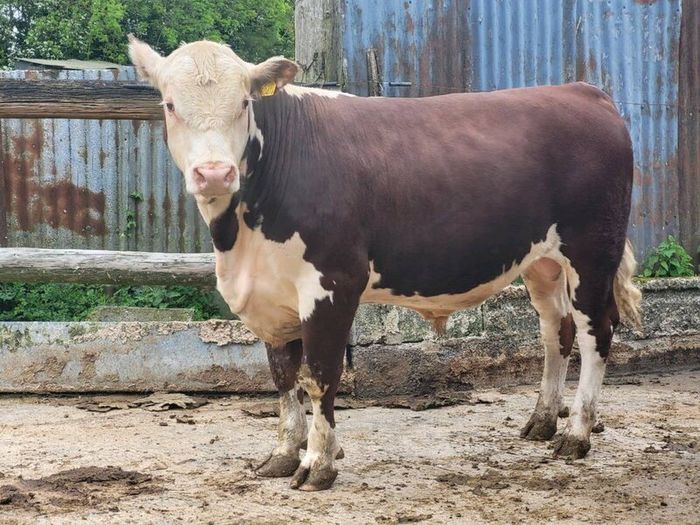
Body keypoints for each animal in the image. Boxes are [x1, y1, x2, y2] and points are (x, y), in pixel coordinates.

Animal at [128, 36, 641, 491]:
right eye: (170, 104)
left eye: (242, 103)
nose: (215, 173)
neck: (241, 239)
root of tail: (583, 91)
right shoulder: (271, 297)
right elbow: (282, 377)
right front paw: (282, 454)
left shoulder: (333, 282)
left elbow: (319, 376)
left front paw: (318, 464)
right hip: (543, 262)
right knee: (557, 330)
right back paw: (541, 421)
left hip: (592, 252)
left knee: (596, 332)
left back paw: (576, 434)